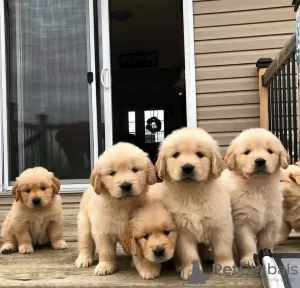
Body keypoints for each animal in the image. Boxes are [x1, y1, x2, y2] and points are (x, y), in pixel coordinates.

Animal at [74, 143, 157, 276]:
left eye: (135, 170)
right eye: (112, 173)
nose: (126, 185)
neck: (123, 205)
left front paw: (145, 268)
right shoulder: (102, 230)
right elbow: (106, 251)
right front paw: (105, 266)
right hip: (84, 226)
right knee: (85, 244)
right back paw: (83, 259)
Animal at [149, 127, 236, 280]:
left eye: (200, 154)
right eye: (176, 154)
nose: (187, 167)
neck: (192, 194)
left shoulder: (221, 225)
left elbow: (223, 248)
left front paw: (225, 266)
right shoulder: (182, 231)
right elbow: (188, 254)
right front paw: (191, 271)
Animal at [223, 128, 290, 268]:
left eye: (270, 151)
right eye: (247, 152)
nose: (260, 161)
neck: (258, 187)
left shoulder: (271, 221)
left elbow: (266, 242)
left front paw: (267, 256)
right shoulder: (242, 222)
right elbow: (247, 243)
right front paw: (249, 259)